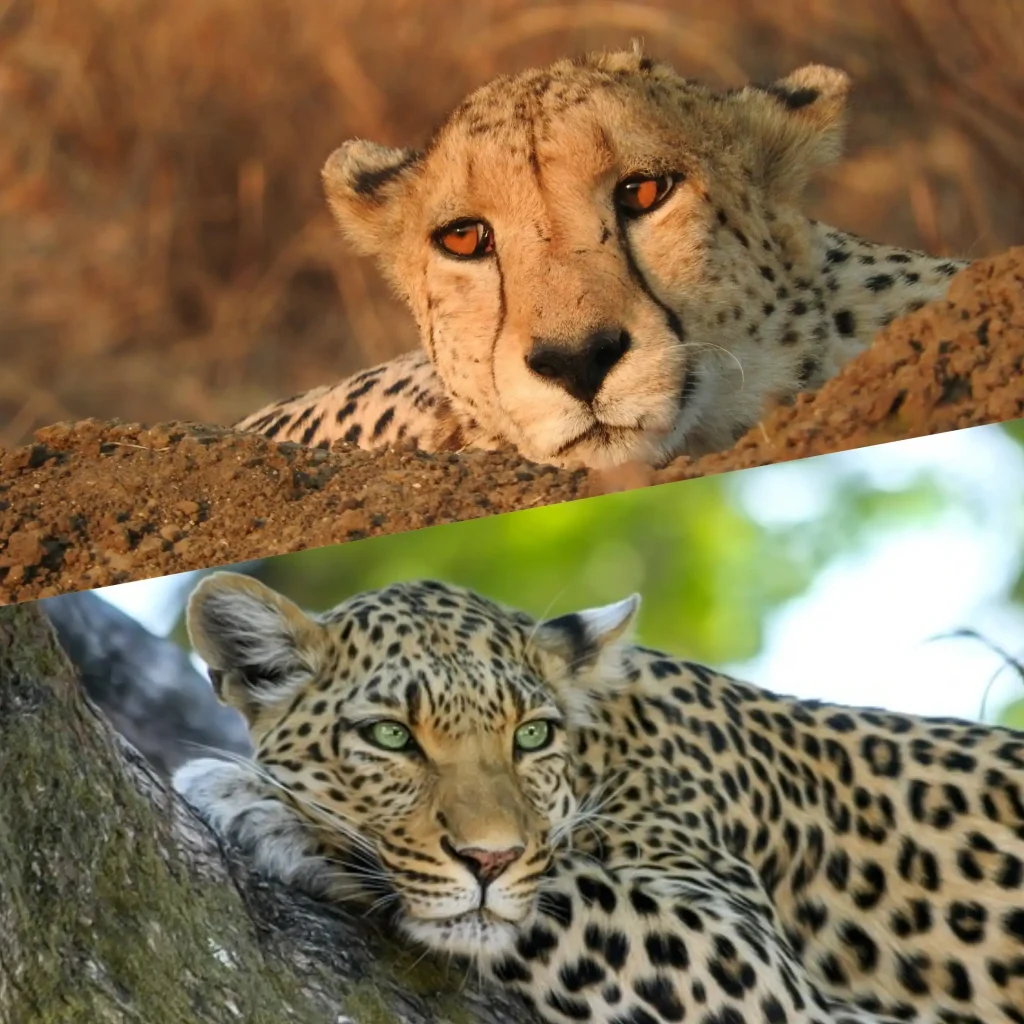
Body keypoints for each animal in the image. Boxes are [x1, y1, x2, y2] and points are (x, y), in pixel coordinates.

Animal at [173, 572, 1024, 1024]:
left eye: (531, 736)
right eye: (389, 737)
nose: (489, 858)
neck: (608, 748)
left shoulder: (756, 969)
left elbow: (561, 888)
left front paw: (266, 806)